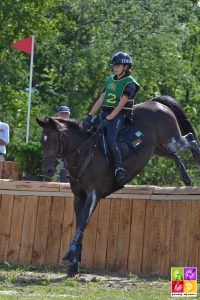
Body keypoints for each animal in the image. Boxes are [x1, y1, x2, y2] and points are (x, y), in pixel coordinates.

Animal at [36, 96, 200, 276]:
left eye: (54, 140)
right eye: (42, 141)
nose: (48, 170)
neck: (84, 153)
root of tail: (155, 102)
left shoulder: (93, 194)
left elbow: (82, 224)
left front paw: (70, 255)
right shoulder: (78, 197)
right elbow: (80, 225)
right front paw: (74, 264)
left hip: (171, 139)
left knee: (189, 139)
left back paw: (197, 159)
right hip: (158, 147)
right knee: (174, 155)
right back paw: (186, 179)